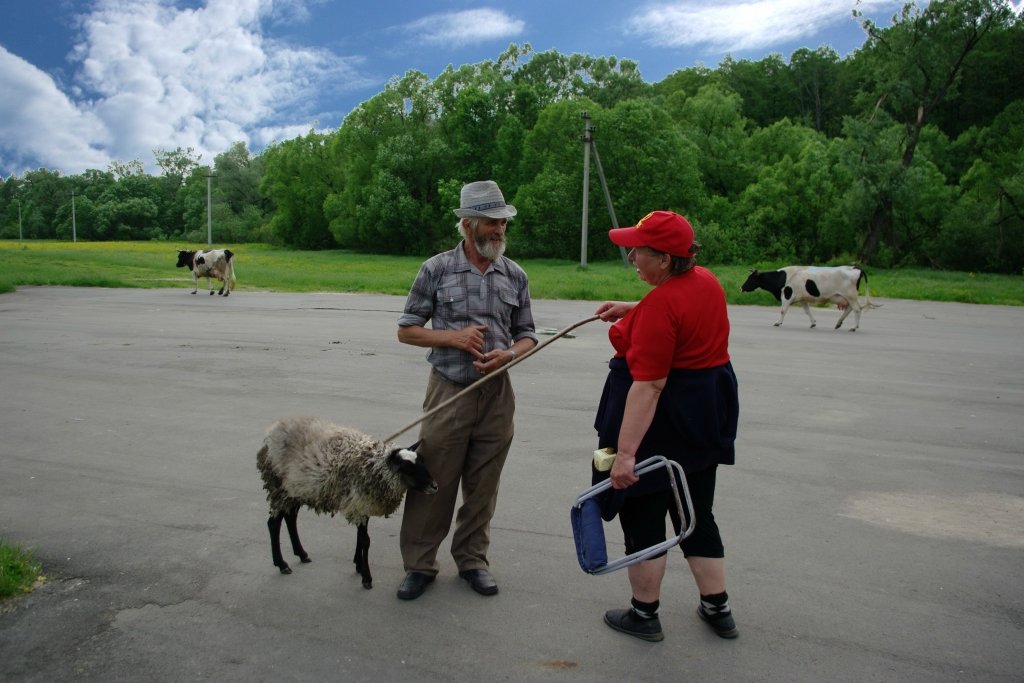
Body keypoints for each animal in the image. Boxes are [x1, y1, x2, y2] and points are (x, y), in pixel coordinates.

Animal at [256, 417, 436, 589]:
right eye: (407, 468)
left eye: (422, 460)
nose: (434, 486)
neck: (372, 465)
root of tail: (269, 435)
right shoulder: (359, 504)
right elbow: (365, 541)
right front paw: (366, 577)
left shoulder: (361, 505)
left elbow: (360, 538)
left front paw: (358, 565)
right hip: (279, 488)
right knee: (273, 524)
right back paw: (282, 564)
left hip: (295, 491)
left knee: (290, 518)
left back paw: (302, 554)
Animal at [741, 264, 876, 331]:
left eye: (751, 278)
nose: (741, 288)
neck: (782, 277)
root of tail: (854, 267)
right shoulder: (802, 299)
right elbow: (807, 311)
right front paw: (813, 323)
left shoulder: (787, 295)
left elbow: (783, 310)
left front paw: (778, 322)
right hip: (846, 297)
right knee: (850, 309)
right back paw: (838, 323)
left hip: (851, 295)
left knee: (857, 309)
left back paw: (853, 327)